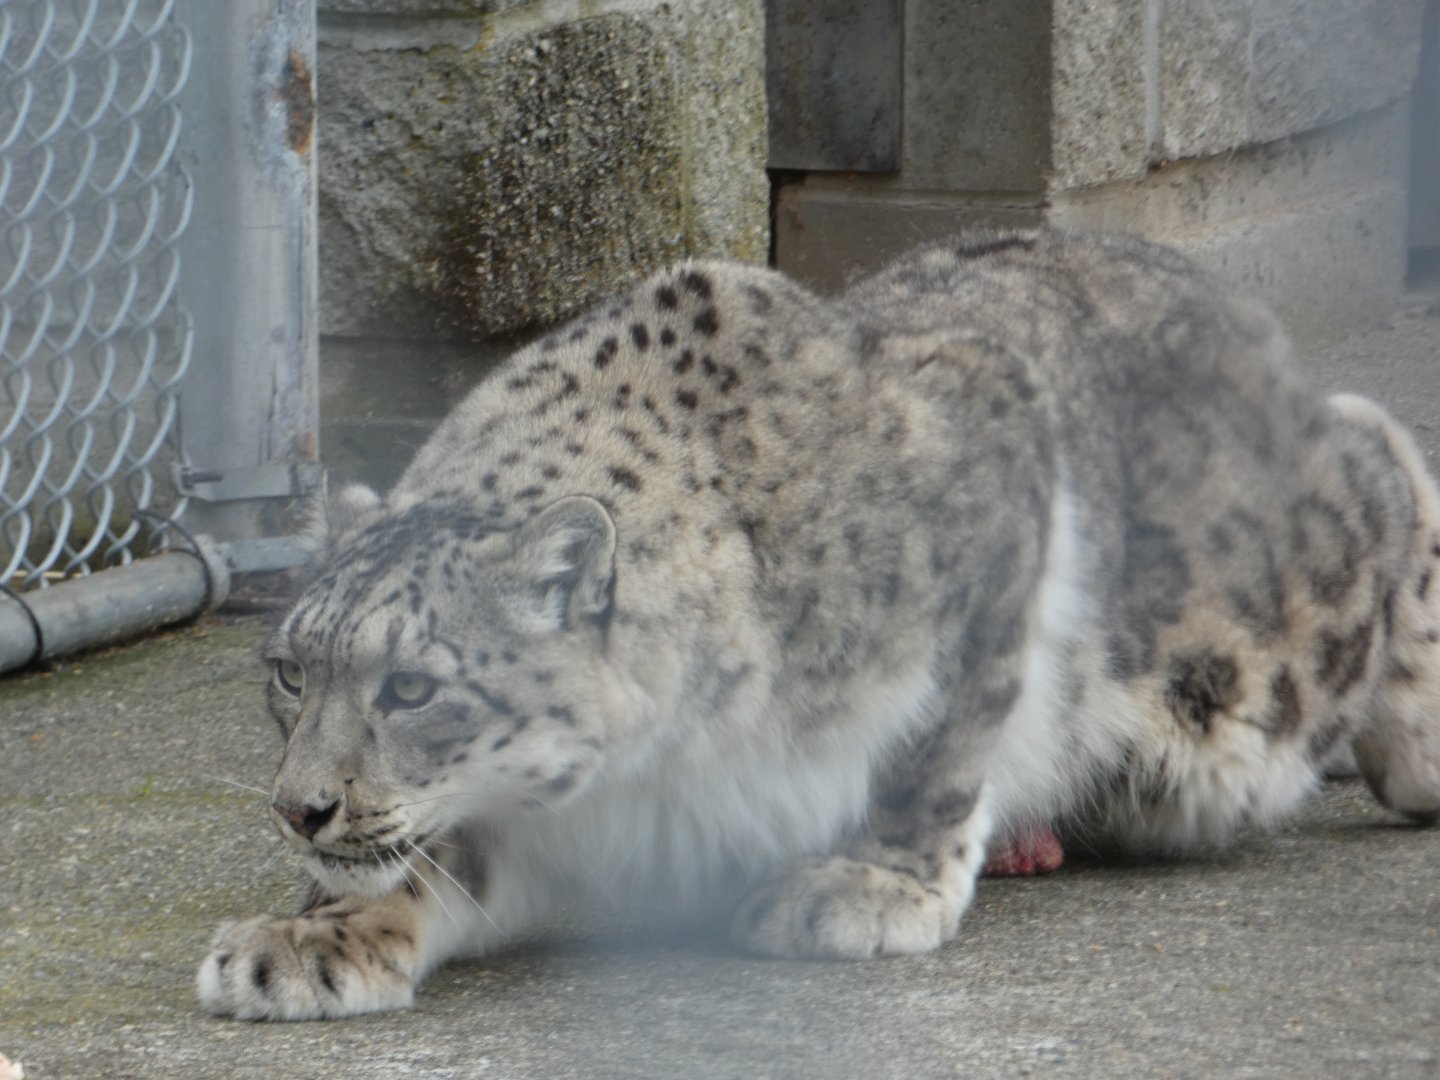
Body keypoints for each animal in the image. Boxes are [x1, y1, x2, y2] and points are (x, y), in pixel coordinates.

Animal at [198, 228, 1440, 1020]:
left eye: (412, 686)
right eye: (291, 672)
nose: (300, 809)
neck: (650, 783)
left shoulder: (995, 480)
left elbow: (939, 738)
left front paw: (871, 884)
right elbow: (432, 865)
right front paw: (301, 942)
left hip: (1255, 646)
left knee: (1383, 448)